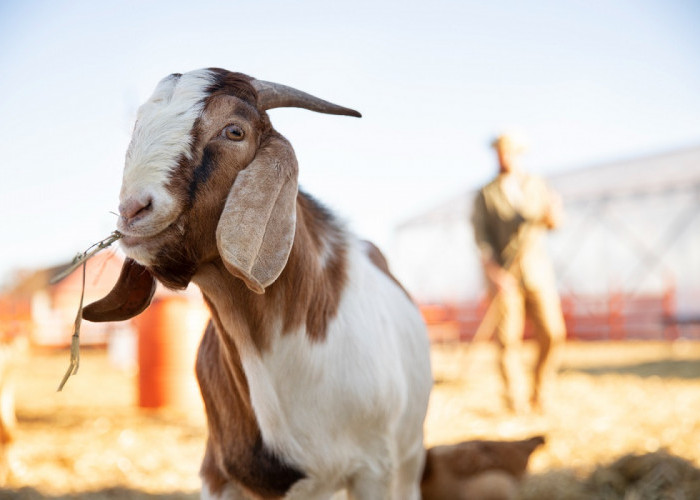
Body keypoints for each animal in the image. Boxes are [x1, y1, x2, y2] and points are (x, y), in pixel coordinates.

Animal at [82, 67, 432, 500]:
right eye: (138, 126)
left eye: (235, 131)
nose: (133, 210)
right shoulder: (218, 473)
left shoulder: (374, 469)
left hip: (409, 457)